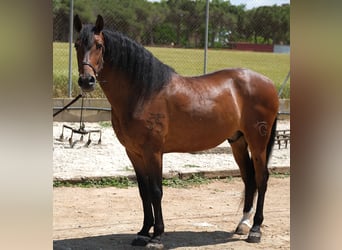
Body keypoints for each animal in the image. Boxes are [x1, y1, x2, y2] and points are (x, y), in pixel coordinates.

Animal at [73, 14, 280, 246]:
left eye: (99, 45)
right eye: (77, 45)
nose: (86, 81)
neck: (143, 92)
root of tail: (267, 82)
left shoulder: (153, 152)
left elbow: (156, 191)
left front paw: (157, 235)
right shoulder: (134, 153)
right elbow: (143, 192)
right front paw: (143, 232)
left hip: (258, 142)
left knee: (262, 178)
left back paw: (255, 229)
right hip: (238, 141)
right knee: (249, 178)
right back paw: (243, 224)